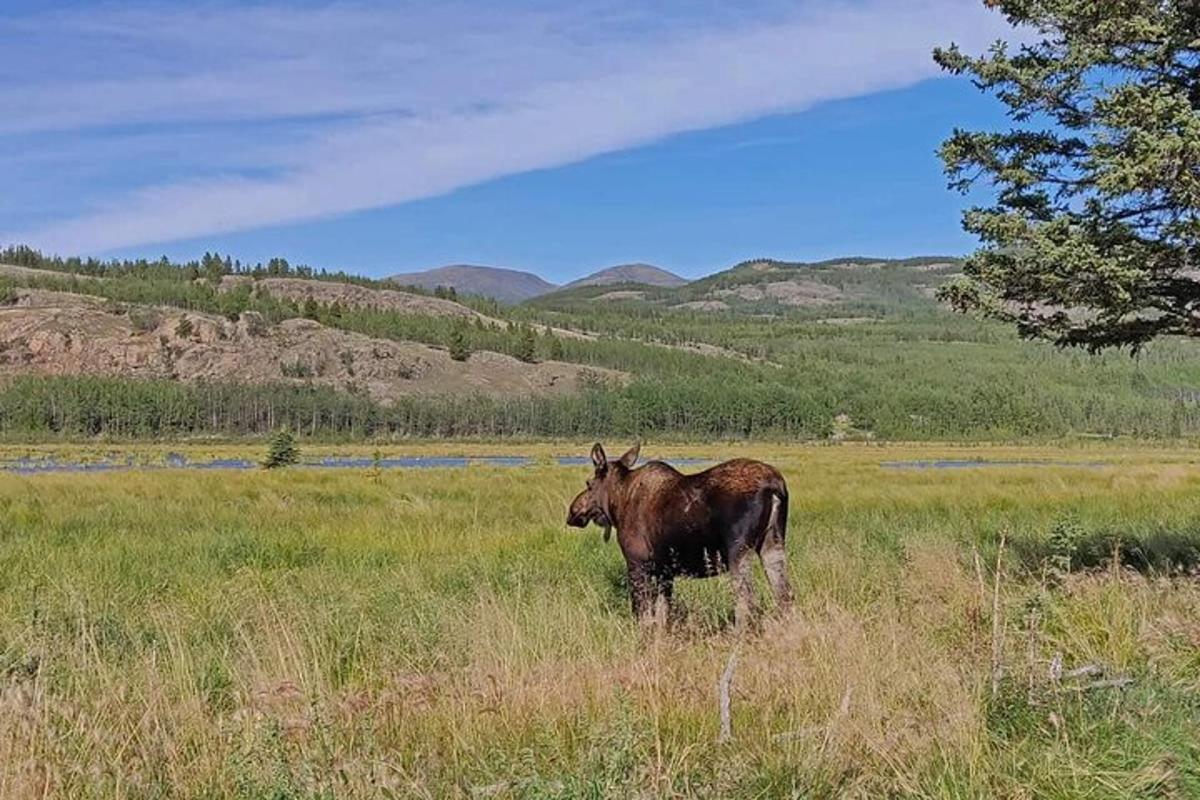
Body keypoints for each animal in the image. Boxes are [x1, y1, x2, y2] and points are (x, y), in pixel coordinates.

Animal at [566, 443, 792, 623]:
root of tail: (775, 487)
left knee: (747, 602)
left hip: (738, 551)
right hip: (773, 544)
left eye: (588, 484)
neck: (617, 504)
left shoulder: (637, 564)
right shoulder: (664, 571)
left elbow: (643, 616)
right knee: (785, 595)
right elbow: (663, 615)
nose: (572, 511)